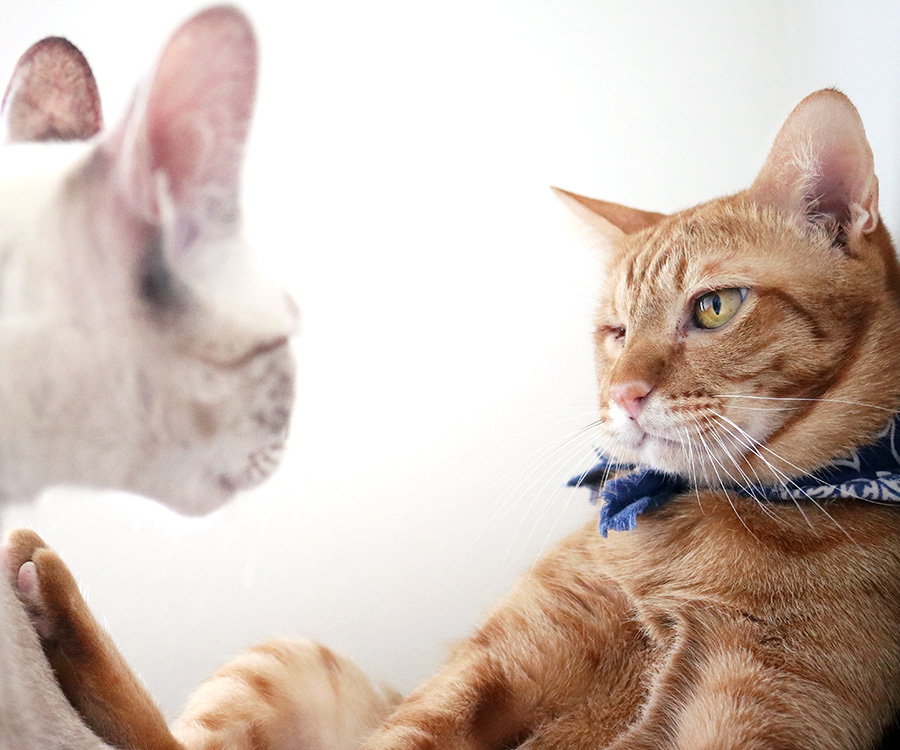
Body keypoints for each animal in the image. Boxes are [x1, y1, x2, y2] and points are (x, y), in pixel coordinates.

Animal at [7, 89, 900, 750]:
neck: (695, 525)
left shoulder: (756, 720)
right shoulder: (488, 670)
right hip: (275, 662)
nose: (624, 395)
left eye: (714, 308)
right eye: (614, 332)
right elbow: (412, 731)